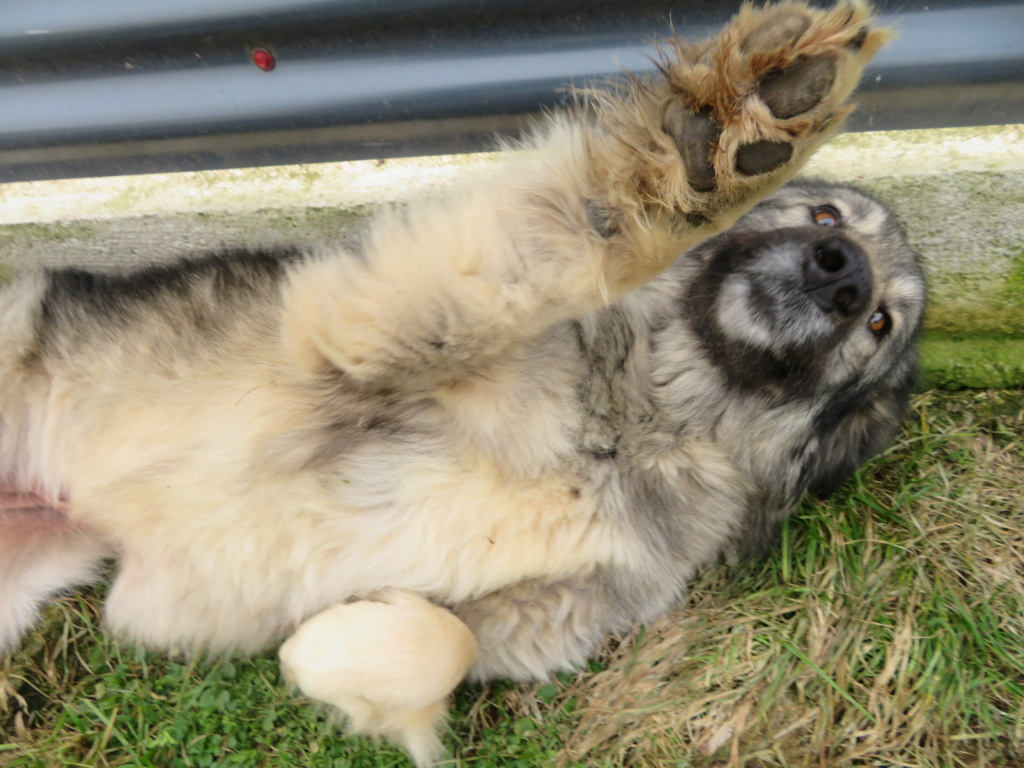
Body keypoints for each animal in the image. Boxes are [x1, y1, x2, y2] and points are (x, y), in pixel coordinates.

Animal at [0, 3, 921, 765]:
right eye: (827, 217)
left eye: (881, 322)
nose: (841, 273)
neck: (647, 421)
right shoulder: (367, 336)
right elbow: (596, 244)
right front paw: (720, 145)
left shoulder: (552, 611)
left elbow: (447, 642)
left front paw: (321, 651)